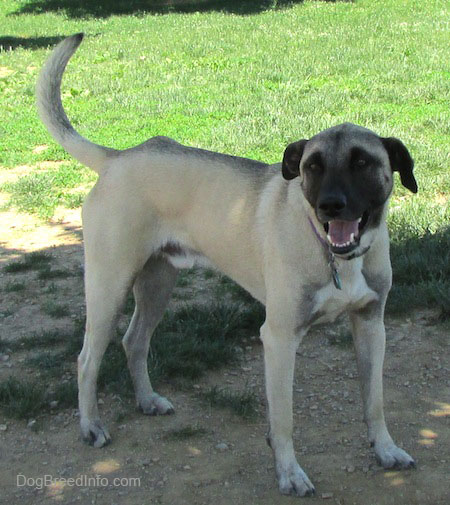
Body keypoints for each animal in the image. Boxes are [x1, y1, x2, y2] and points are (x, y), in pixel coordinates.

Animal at [37, 33, 416, 494]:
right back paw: (91, 426)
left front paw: (386, 450)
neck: (334, 256)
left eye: (363, 162)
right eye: (312, 167)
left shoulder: (371, 324)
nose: (330, 205)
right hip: (109, 285)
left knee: (134, 341)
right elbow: (284, 419)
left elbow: (374, 402)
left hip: (157, 284)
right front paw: (289, 473)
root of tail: (119, 158)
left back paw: (147, 400)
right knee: (87, 359)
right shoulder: (279, 337)